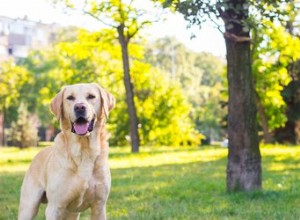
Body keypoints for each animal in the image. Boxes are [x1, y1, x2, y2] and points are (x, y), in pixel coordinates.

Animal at [17, 83, 115, 220]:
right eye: (70, 98)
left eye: (91, 96)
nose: (79, 107)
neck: (83, 151)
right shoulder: (54, 208)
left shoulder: (99, 206)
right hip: (29, 206)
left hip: (71, 213)